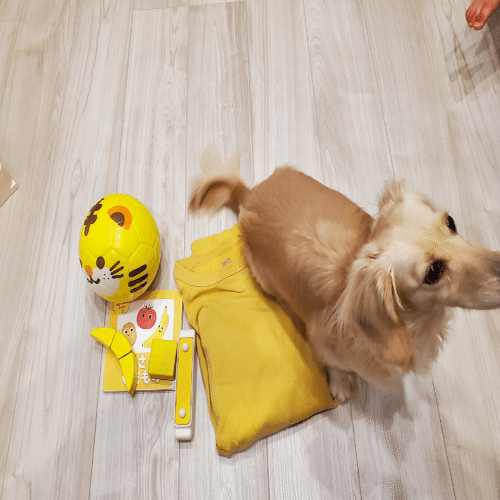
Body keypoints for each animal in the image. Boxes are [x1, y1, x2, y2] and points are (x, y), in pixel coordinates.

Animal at [189, 152, 500, 402]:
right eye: (433, 272)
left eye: (451, 222)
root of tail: (248, 193)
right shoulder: (321, 340)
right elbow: (337, 366)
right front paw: (340, 384)